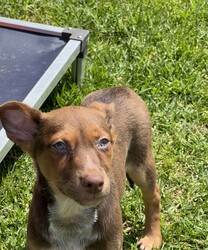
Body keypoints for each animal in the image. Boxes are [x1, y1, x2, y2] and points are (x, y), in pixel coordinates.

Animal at [0, 87, 162, 249]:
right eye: (59, 145)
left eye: (104, 142)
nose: (95, 183)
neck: (71, 211)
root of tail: (120, 88)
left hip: (141, 163)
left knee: (153, 194)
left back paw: (152, 237)